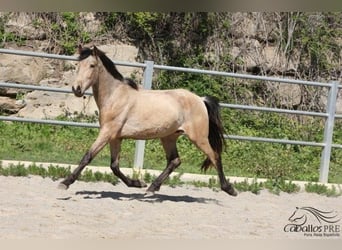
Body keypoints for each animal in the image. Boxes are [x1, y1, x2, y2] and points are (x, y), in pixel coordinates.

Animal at [56, 45, 238, 197]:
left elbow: (88, 156)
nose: (77, 89)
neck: (115, 96)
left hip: (198, 138)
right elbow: (114, 166)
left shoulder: (107, 133)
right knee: (175, 161)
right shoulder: (115, 137)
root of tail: (200, 99)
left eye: (92, 65)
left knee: (215, 156)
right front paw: (137, 183)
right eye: (78, 65)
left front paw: (65, 183)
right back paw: (151, 188)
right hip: (169, 136)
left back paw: (229, 189)